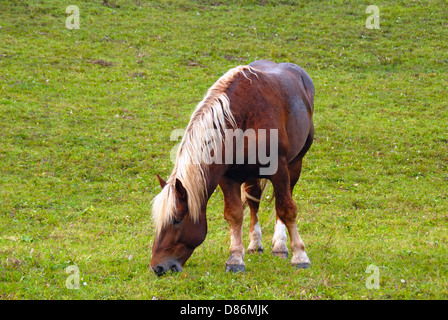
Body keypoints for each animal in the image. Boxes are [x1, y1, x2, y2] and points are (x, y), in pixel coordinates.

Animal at [150, 60, 316, 276]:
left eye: (177, 219)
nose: (157, 267)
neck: (240, 119)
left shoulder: (279, 170)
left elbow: (287, 209)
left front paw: (300, 255)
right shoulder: (228, 178)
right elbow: (234, 214)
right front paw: (235, 258)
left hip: (295, 163)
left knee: (284, 201)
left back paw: (280, 245)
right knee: (254, 202)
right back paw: (255, 244)